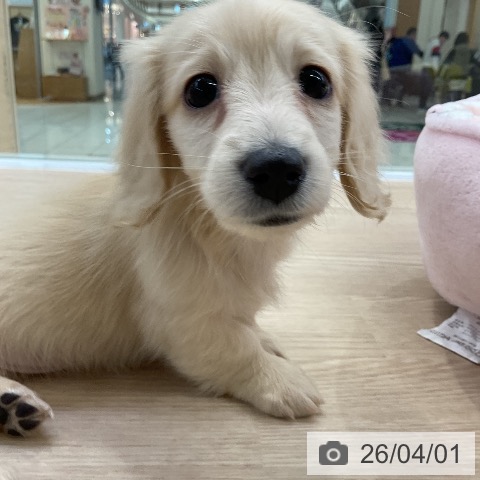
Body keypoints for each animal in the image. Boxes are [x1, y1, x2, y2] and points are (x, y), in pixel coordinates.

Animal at [0, 0, 390, 437]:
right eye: (200, 89)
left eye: (316, 81)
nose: (275, 169)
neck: (210, 226)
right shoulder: (182, 321)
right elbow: (236, 348)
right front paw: (278, 378)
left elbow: (246, 326)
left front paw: (265, 338)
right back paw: (13, 400)